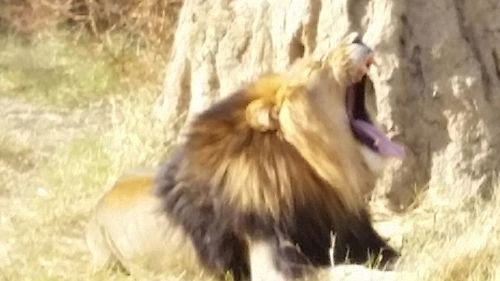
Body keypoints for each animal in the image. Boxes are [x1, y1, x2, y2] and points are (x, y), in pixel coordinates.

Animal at [86, 34, 404, 280]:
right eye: (317, 64)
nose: (357, 37)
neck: (313, 174)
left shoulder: (359, 237)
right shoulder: (273, 265)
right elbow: (350, 271)